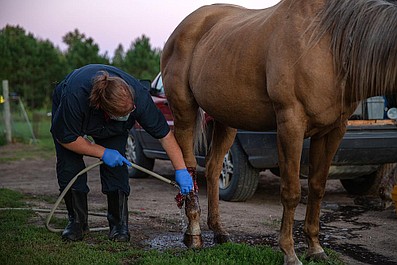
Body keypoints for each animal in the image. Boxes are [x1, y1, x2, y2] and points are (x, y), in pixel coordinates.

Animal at [160, 1, 396, 262]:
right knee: (188, 167)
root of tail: (184, 27)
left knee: (213, 168)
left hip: (226, 120)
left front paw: (316, 248)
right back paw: (194, 235)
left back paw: (219, 231)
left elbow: (317, 187)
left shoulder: (333, 130)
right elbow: (291, 191)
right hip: (184, 112)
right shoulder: (290, 124)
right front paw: (290, 253)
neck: (328, 44)